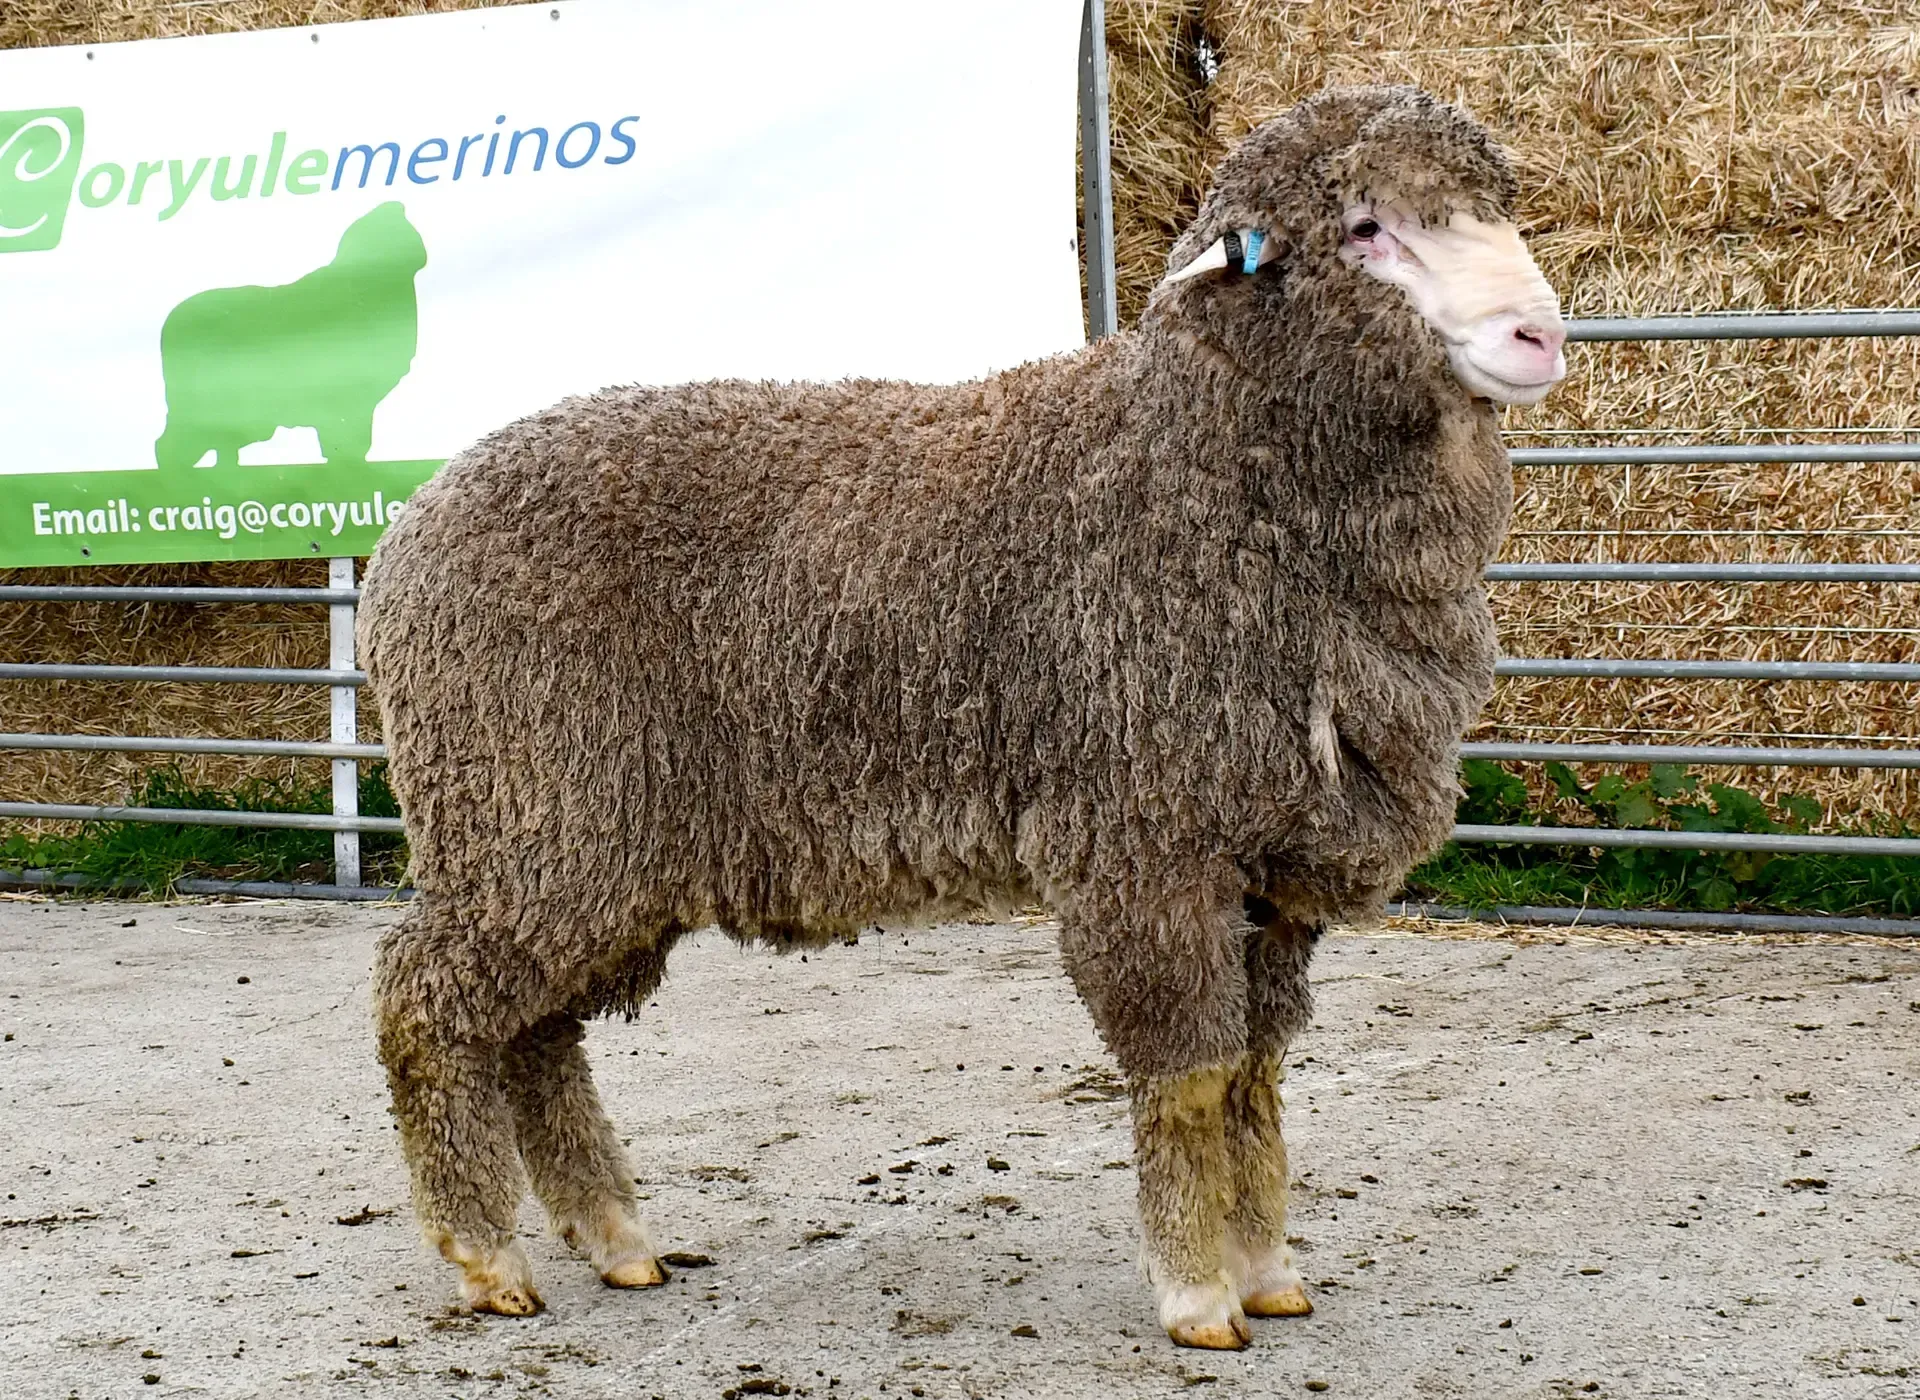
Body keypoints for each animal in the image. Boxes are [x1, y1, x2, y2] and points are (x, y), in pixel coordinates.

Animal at [358, 84, 1565, 1350]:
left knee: (537, 1031)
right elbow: (1191, 1070)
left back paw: (613, 1236)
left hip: (588, 853)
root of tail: (407, 532)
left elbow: (1254, 1073)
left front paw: (1269, 1266)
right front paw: (1198, 1293)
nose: (1541, 336)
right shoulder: (1146, 841)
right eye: (1367, 228)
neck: (1195, 463)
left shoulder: (1274, 867)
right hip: (532, 811)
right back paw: (486, 1254)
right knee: (429, 1003)